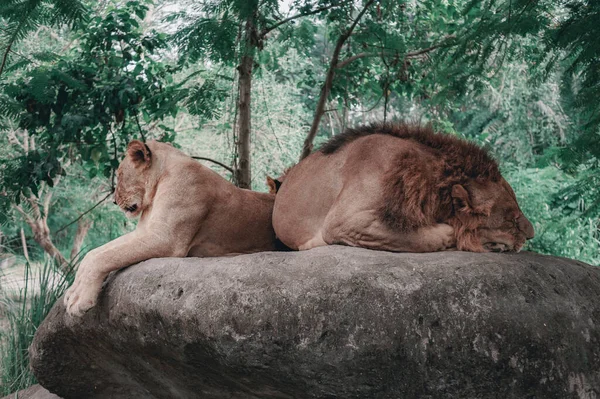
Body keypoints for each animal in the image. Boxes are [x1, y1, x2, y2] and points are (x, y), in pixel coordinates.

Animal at [67, 141, 278, 318]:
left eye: (119, 174)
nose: (113, 201)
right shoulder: (144, 232)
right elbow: (93, 254)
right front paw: (72, 292)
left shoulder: (166, 239)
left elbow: (105, 257)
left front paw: (78, 299)